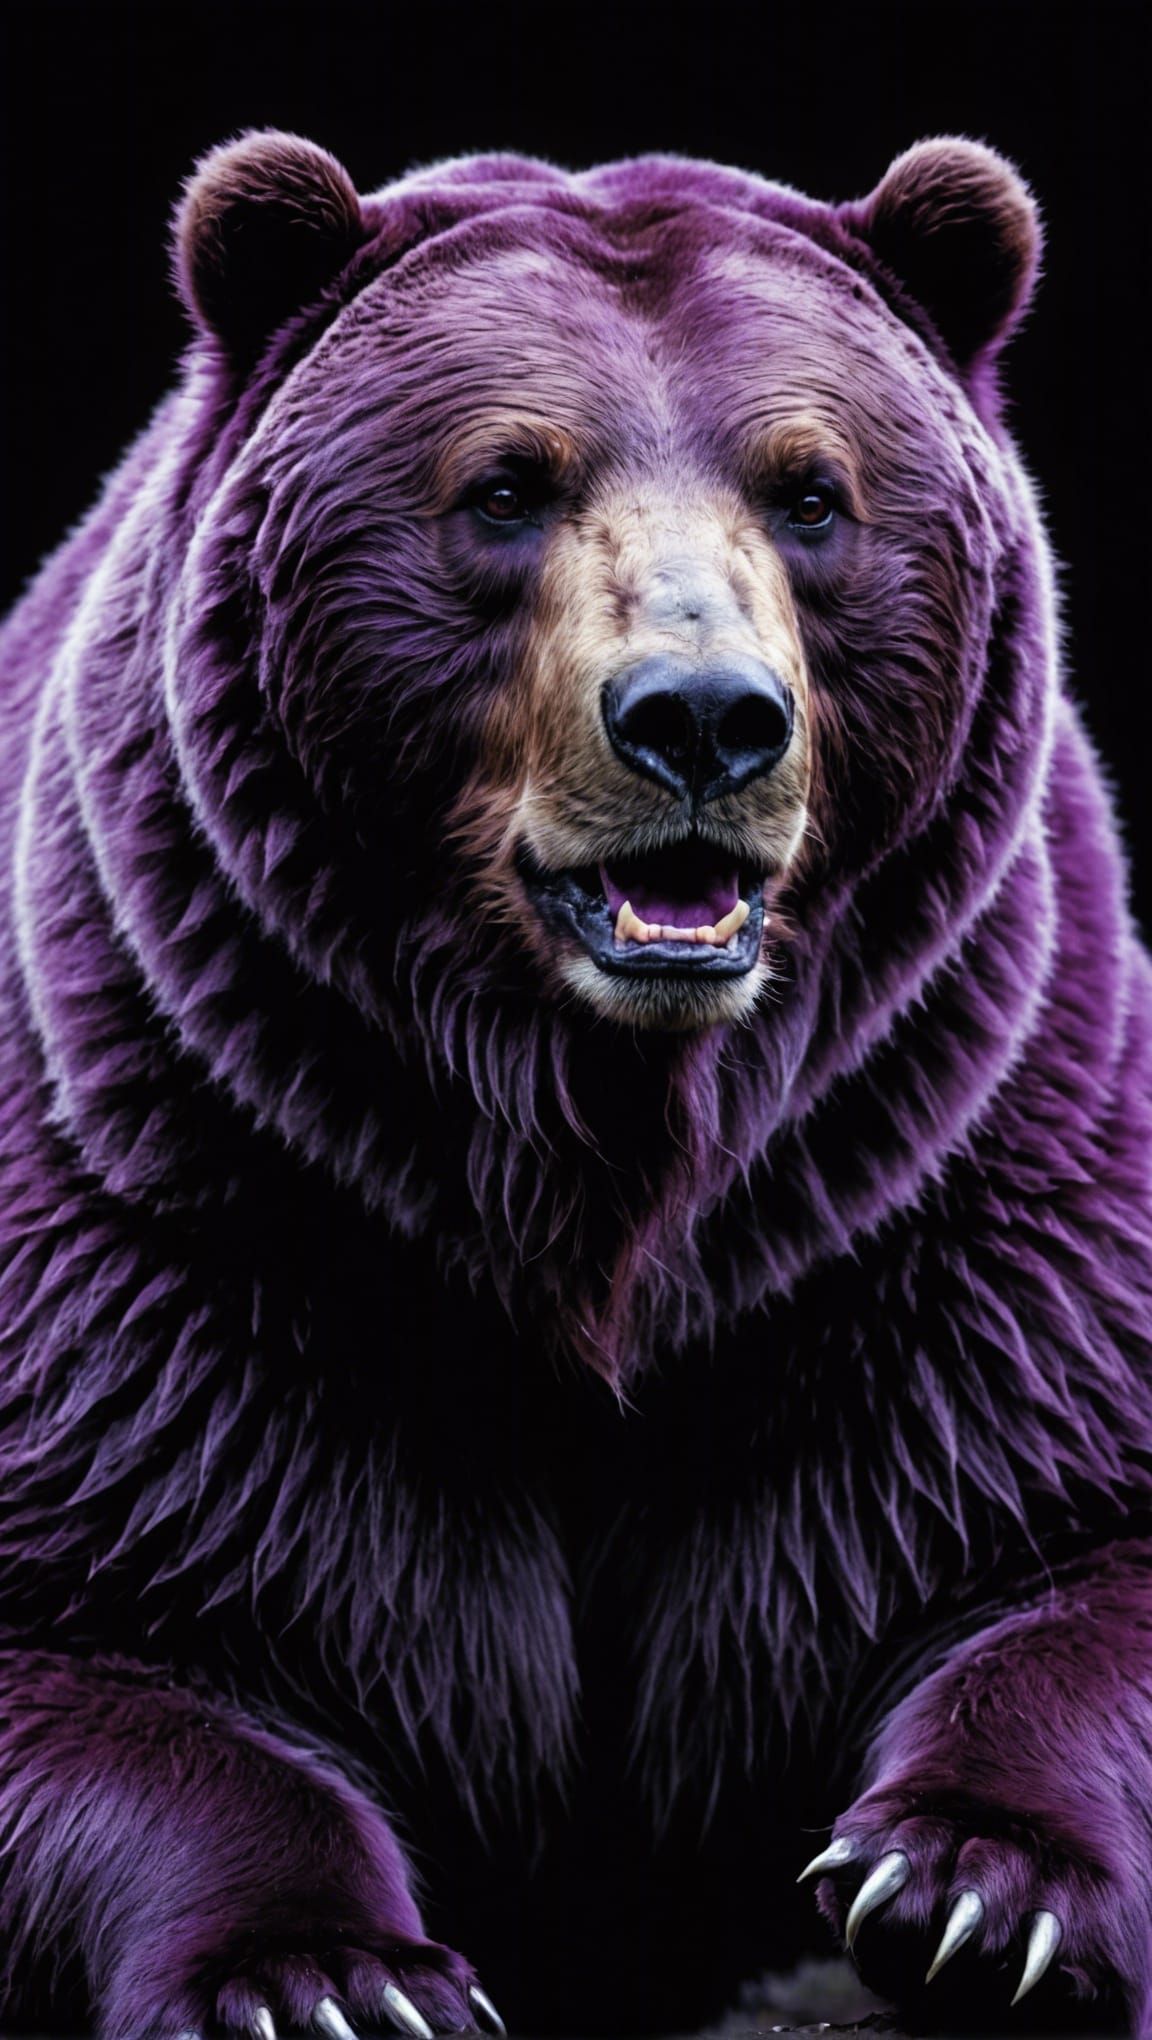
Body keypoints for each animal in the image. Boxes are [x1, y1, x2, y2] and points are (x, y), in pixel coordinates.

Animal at [0, 121, 1150, 2040]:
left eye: (811, 492)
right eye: (505, 486)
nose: (700, 718)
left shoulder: (940, 1183)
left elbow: (1062, 1518)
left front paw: (972, 1886)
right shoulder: (185, 1195)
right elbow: (104, 1614)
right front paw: (322, 1972)